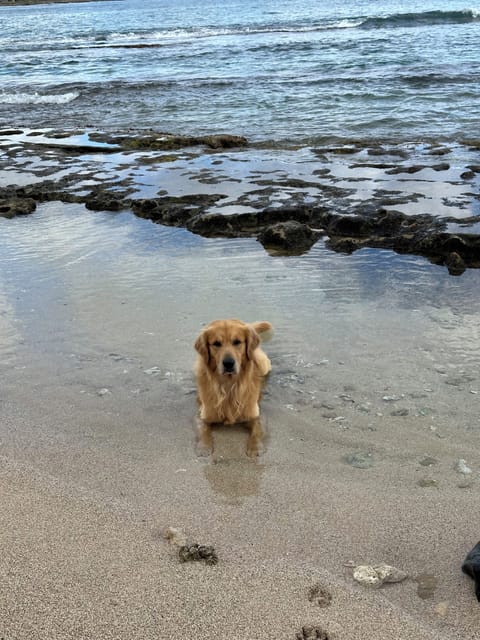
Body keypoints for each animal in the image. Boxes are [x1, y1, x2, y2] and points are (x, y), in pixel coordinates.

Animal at [193, 318, 272, 458]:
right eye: (216, 343)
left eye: (237, 342)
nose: (228, 363)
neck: (228, 385)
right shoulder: (203, 413)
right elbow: (203, 429)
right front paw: (204, 447)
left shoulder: (255, 414)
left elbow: (257, 429)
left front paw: (255, 448)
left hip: (263, 365)